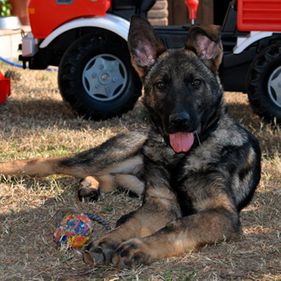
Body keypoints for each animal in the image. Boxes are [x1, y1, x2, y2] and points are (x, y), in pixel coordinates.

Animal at [0, 17, 260, 266]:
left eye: (196, 83)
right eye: (161, 85)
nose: (179, 121)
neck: (180, 157)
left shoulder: (220, 213)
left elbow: (177, 228)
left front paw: (138, 247)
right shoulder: (160, 204)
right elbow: (133, 225)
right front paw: (109, 240)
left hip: (131, 178)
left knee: (110, 178)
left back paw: (90, 186)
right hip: (108, 157)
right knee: (47, 163)